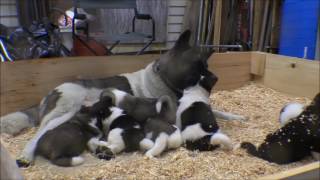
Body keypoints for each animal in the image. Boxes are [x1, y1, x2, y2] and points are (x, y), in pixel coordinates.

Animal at [0, 29, 245, 166]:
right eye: (199, 68)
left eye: (206, 66)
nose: (215, 77)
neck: (162, 77)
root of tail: (50, 93)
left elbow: (220, 111)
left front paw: (237, 116)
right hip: (63, 113)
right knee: (38, 135)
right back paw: (26, 156)